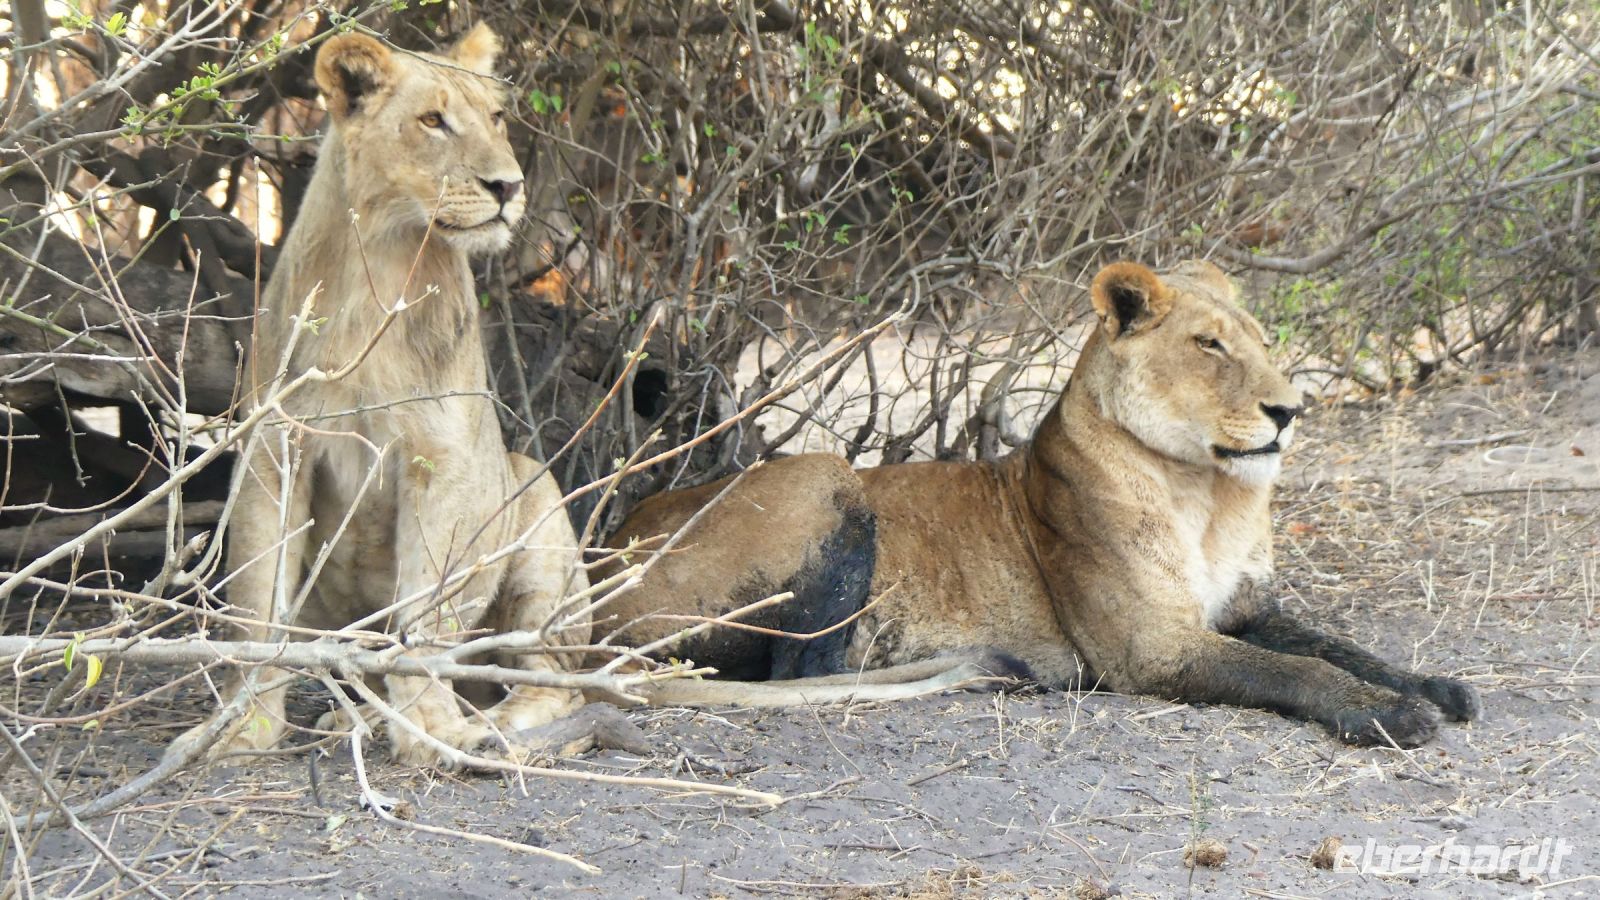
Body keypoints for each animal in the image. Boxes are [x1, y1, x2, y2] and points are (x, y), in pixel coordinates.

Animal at [165, 26, 589, 767]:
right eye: (433, 121)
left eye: (496, 118)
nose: (508, 186)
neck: (383, 267)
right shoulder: (276, 450)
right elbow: (257, 601)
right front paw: (244, 730)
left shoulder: (441, 460)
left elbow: (426, 611)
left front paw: (432, 733)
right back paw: (357, 717)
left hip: (534, 499)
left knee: (553, 682)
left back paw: (491, 724)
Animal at [597, 260, 1480, 747]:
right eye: (1209, 345)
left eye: (1263, 341)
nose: (1290, 411)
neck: (1207, 493)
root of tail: (596, 573)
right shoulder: (1151, 648)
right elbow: (1297, 667)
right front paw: (1390, 714)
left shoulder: (1240, 609)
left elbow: (1339, 644)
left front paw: (1436, 686)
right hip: (824, 473)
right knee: (803, 671)